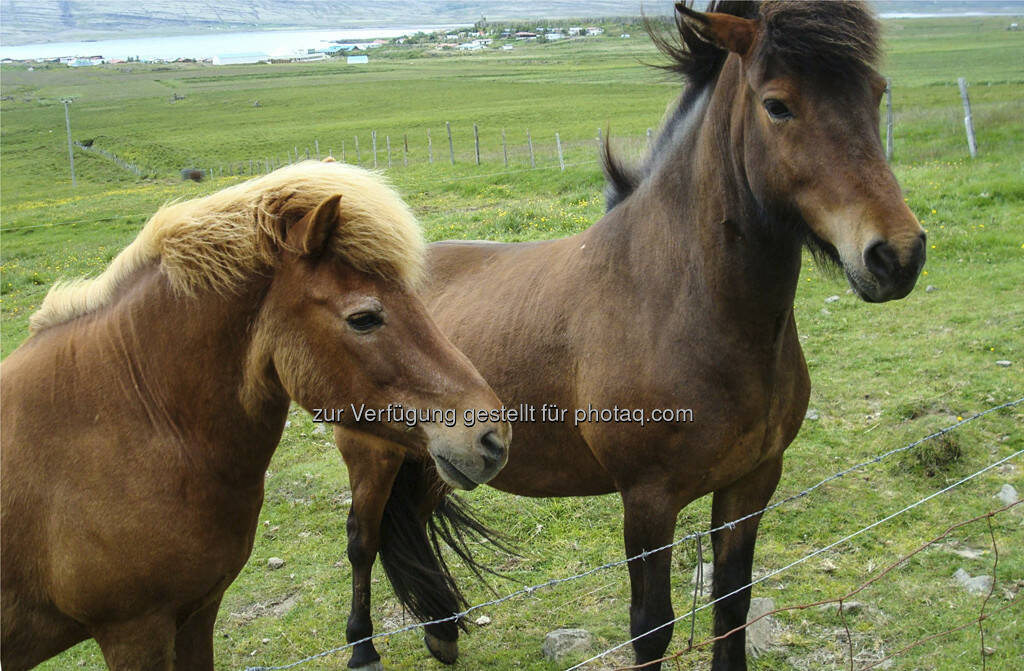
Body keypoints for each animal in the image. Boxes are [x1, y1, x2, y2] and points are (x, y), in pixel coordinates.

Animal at [337, 2, 929, 667]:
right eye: (778, 105)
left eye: (876, 93)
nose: (897, 255)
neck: (679, 302)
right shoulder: (648, 500)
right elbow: (652, 626)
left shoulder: (751, 484)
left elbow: (733, 605)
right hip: (370, 453)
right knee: (362, 540)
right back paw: (363, 647)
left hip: (432, 458)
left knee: (410, 518)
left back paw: (441, 632)